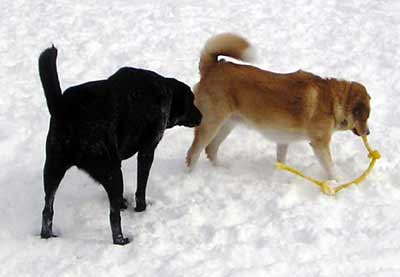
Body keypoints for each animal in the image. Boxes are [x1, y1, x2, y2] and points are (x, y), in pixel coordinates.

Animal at [39, 46, 202, 245]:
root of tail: (63, 108)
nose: (201, 116)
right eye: (192, 101)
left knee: (47, 211)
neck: (165, 91)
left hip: (52, 169)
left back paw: (47, 236)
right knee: (113, 217)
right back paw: (121, 240)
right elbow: (141, 188)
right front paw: (141, 209)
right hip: (113, 172)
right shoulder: (147, 150)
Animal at [186, 33, 370, 179]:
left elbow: (281, 160)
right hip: (211, 124)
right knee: (193, 153)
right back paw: (191, 175)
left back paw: (222, 169)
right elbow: (331, 168)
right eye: (365, 117)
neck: (334, 101)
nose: (368, 132)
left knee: (210, 149)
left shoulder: (283, 140)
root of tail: (212, 67)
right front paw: (338, 182)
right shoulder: (320, 145)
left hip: (228, 124)